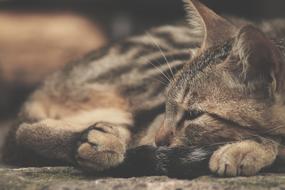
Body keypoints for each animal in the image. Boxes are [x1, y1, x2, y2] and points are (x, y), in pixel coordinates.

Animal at [2, 0, 284, 178]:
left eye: (194, 114)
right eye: (170, 105)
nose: (160, 140)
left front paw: (245, 150)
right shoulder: (155, 121)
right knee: (22, 132)